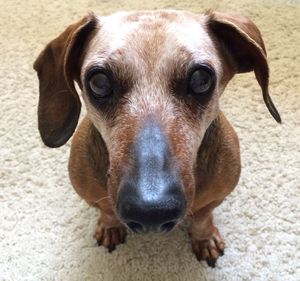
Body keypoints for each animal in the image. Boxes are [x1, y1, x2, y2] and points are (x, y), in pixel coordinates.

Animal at [33, 9, 282, 266]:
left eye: (201, 79)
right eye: (99, 82)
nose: (150, 213)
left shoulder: (216, 197)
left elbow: (203, 216)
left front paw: (204, 238)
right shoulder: (94, 197)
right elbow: (107, 211)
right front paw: (110, 227)